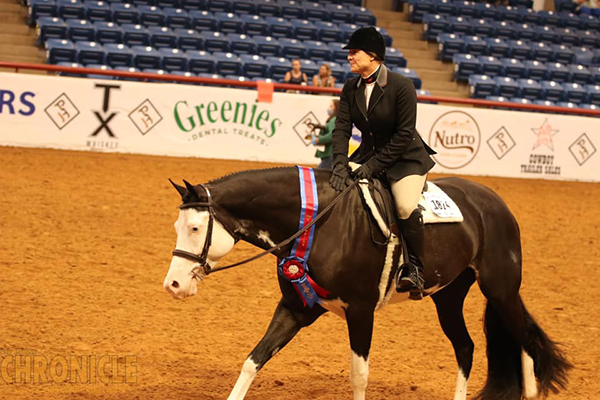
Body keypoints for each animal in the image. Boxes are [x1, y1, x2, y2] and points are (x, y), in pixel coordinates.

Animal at [164, 168, 572, 400]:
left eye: (196, 228)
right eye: (177, 226)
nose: (174, 285)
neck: (317, 225)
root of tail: (494, 202)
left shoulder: (361, 312)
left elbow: (359, 376)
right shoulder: (297, 309)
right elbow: (253, 360)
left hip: (500, 289)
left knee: (523, 340)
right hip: (448, 298)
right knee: (466, 348)